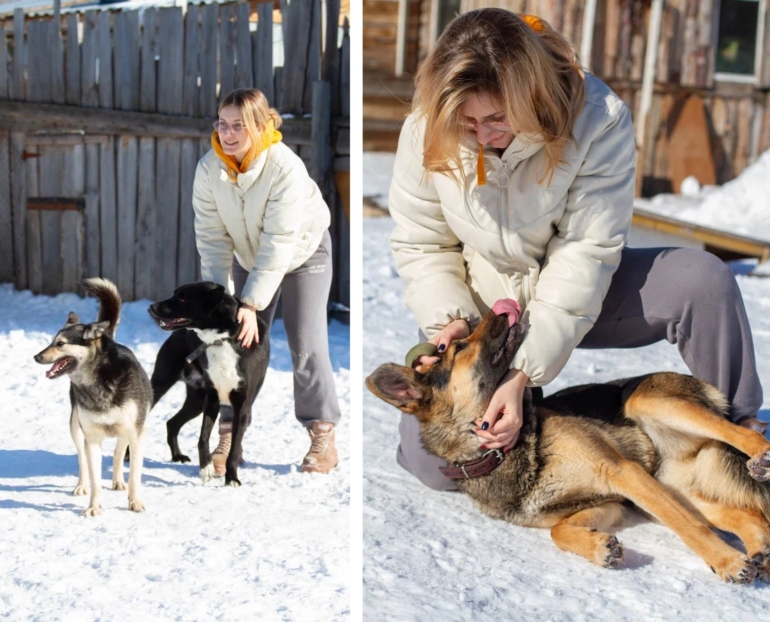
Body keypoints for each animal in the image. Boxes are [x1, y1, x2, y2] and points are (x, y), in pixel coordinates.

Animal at [33, 278, 152, 516]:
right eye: (51, 341)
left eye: (60, 343)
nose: (36, 357)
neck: (99, 379)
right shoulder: (92, 438)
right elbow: (95, 477)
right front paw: (94, 507)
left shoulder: (136, 433)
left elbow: (134, 474)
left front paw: (134, 501)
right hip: (75, 427)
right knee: (82, 461)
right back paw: (81, 485)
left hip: (126, 430)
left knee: (118, 453)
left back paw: (118, 481)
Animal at [148, 280, 270, 490]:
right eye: (175, 293)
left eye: (183, 297)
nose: (152, 307)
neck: (224, 339)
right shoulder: (212, 400)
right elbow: (203, 438)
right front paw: (206, 469)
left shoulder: (241, 407)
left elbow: (234, 449)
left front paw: (232, 478)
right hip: (163, 383)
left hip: (196, 400)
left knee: (172, 423)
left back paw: (177, 456)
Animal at [366, 302, 768, 584]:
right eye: (461, 345)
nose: (501, 308)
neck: (504, 452)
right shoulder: (612, 503)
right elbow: (558, 531)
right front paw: (601, 548)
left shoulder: (623, 472)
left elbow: (688, 528)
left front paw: (727, 562)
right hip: (675, 488)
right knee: (747, 517)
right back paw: (761, 551)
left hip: (646, 404)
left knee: (748, 437)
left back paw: (761, 459)